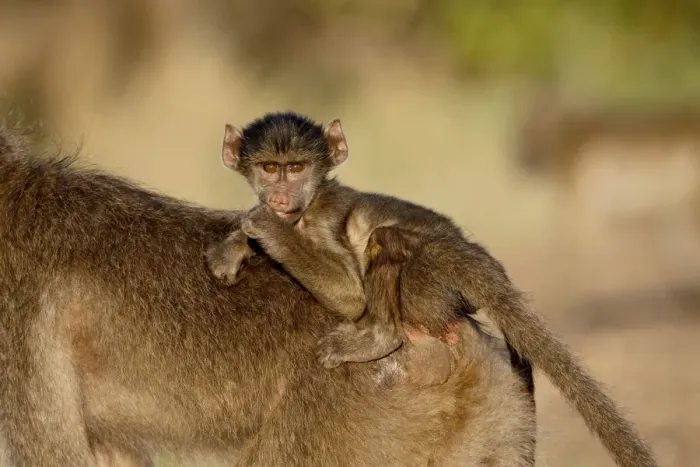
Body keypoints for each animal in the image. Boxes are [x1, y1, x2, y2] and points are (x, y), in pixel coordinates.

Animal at [205, 111, 658, 467]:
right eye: (269, 168)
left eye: (297, 167)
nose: (281, 197)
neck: (305, 208)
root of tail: (473, 255)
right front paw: (235, 245)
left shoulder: (322, 220)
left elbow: (350, 293)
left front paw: (260, 225)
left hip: (429, 279)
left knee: (383, 239)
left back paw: (377, 336)